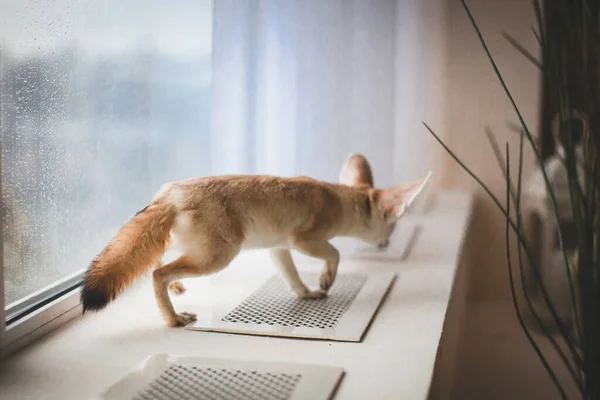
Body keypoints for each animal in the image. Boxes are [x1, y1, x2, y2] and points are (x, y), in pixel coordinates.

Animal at [82, 155, 432, 326]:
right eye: (393, 226)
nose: (387, 245)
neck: (337, 197)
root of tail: (172, 192)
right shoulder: (304, 241)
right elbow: (335, 254)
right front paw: (326, 279)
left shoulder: (279, 248)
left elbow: (293, 278)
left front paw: (306, 293)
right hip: (219, 256)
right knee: (157, 274)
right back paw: (172, 318)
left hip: (188, 247)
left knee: (156, 260)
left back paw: (177, 289)